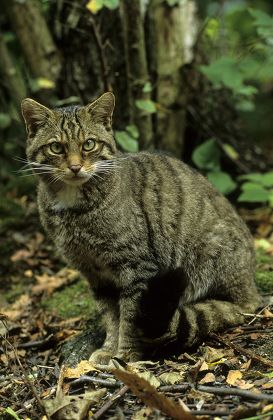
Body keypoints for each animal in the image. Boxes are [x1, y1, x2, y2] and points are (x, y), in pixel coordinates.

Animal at [21, 93, 260, 362]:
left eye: (89, 144)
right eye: (56, 147)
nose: (74, 167)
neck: (74, 210)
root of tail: (251, 285)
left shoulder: (137, 268)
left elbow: (129, 318)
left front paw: (124, 355)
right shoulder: (94, 273)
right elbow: (111, 316)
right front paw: (108, 350)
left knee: (238, 307)